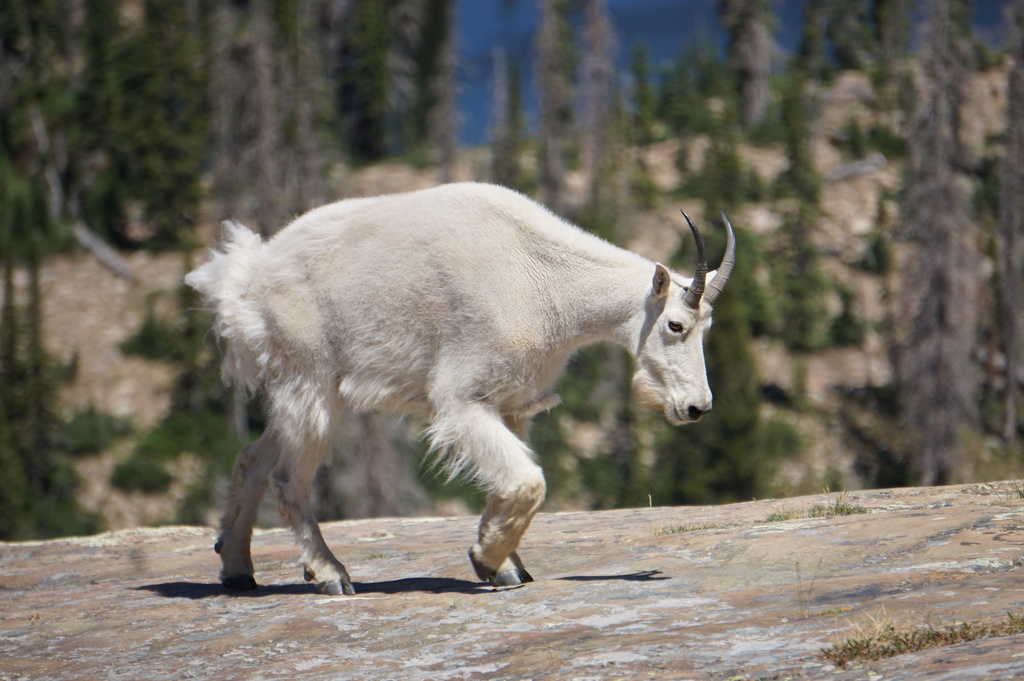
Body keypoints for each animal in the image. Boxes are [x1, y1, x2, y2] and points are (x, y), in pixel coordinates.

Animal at [186, 183, 737, 593]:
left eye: (708, 328)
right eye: (676, 326)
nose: (697, 407)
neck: (550, 284)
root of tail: (244, 280)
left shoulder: (512, 403)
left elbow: (511, 482)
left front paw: (506, 563)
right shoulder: (462, 399)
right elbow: (528, 481)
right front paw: (487, 560)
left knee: (252, 460)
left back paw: (237, 569)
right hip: (309, 379)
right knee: (285, 477)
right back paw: (330, 573)